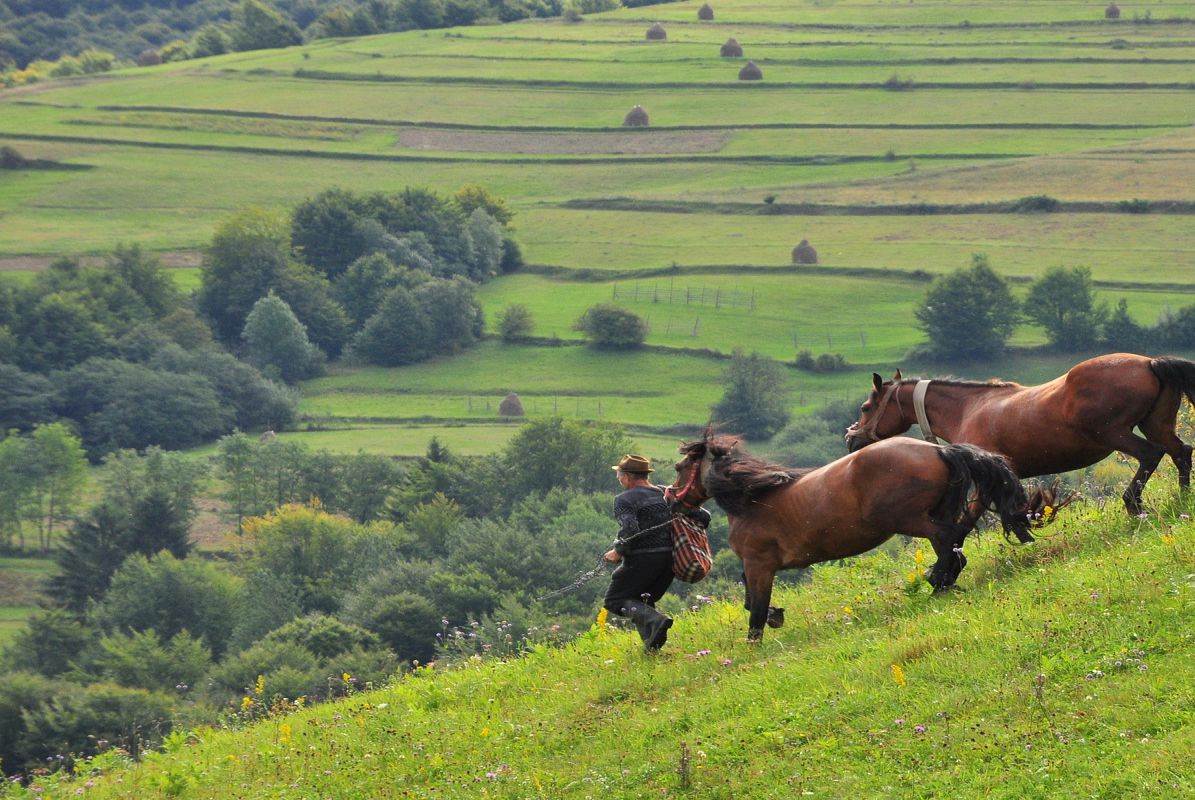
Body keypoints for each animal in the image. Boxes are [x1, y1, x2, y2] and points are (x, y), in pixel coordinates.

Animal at [667, 433, 1032, 642]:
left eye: (678, 468)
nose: (671, 499)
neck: (752, 500)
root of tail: (936, 450)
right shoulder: (756, 568)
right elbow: (750, 603)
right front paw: (777, 615)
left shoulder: (760, 566)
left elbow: (755, 611)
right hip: (929, 517)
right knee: (952, 546)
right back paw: (940, 585)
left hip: (911, 520)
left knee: (950, 543)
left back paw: (936, 583)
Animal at [844, 353, 1195, 515]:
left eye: (865, 407)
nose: (851, 439)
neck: (968, 408)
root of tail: (1150, 363)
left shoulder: (986, 481)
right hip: (1157, 426)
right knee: (1181, 452)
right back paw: (1183, 498)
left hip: (1115, 435)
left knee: (1152, 454)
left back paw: (1133, 505)